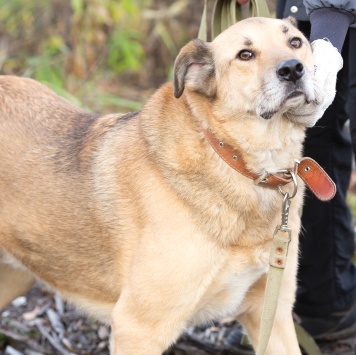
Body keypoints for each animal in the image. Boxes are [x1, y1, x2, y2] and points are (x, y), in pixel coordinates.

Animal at [0, 17, 322, 355]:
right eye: (245, 55)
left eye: (295, 42)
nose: (293, 69)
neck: (236, 162)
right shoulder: (138, 328)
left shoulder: (271, 314)